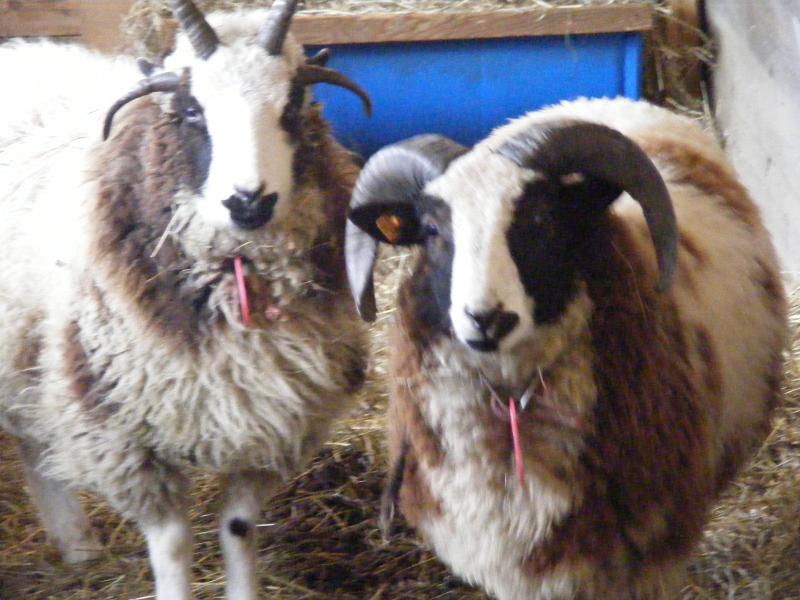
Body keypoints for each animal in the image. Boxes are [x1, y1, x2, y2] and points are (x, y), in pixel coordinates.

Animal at [0, 1, 371, 598]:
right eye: (192, 110)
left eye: (292, 105)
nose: (249, 202)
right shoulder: (122, 432)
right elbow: (173, 543)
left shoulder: (271, 422)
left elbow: (238, 527)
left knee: (32, 439)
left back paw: (78, 546)